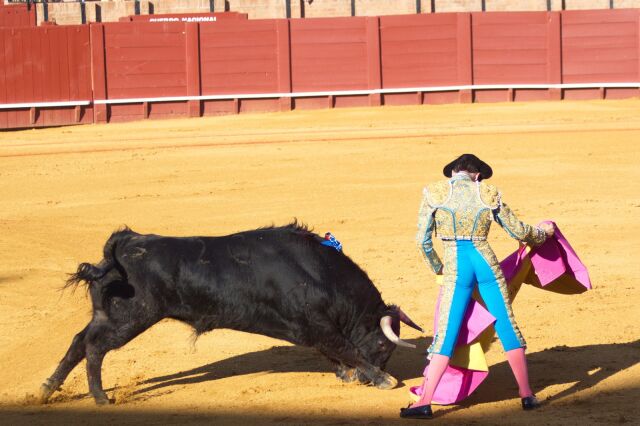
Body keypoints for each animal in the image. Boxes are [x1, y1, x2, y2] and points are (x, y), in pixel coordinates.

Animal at [38, 225, 420, 404]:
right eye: (384, 348)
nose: (368, 381)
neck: (318, 271)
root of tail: (125, 243)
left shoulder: (311, 329)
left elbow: (334, 352)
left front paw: (348, 374)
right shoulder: (315, 325)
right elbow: (346, 348)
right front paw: (383, 379)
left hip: (109, 316)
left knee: (79, 342)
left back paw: (46, 389)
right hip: (129, 318)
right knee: (94, 348)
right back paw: (101, 398)